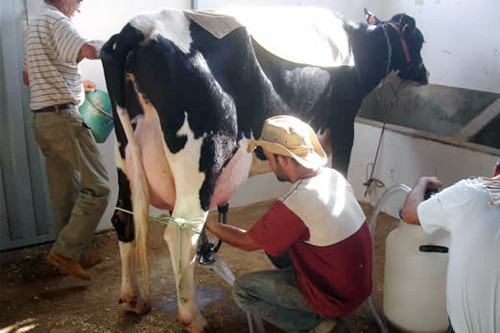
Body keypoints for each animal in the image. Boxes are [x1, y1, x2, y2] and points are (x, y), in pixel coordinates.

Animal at [100, 6, 426, 330]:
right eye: (419, 40)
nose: (424, 74)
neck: (358, 44)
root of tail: (140, 26)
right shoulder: (345, 123)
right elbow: (339, 174)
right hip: (202, 157)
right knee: (181, 236)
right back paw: (193, 317)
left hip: (125, 158)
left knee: (124, 218)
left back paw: (132, 299)